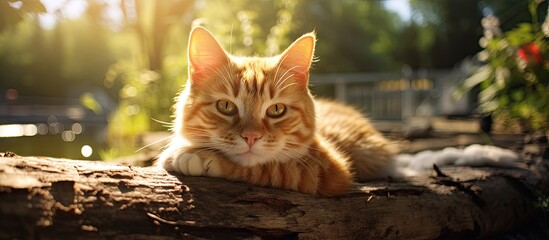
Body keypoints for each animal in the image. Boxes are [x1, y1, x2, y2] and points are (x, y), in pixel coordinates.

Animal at [156, 26, 396, 197]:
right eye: (226, 106)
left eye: (277, 109)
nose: (251, 137)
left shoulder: (326, 171)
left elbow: (270, 168)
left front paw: (198, 156)